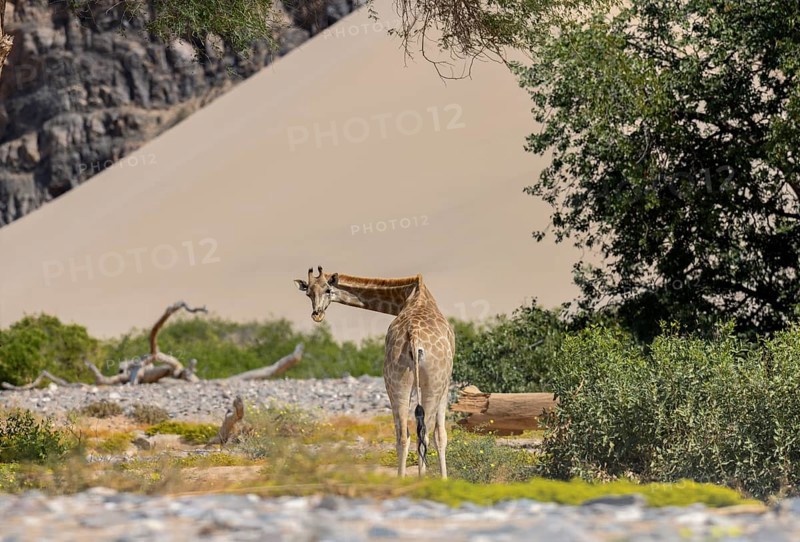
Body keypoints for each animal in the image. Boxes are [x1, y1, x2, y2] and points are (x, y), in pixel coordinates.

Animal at [294, 266, 455, 478]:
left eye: (327, 290)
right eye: (308, 293)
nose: (317, 314)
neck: (410, 294)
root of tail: (414, 337)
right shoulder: (446, 383)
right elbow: (440, 436)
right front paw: (443, 480)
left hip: (395, 382)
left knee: (403, 436)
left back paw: (403, 480)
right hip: (431, 384)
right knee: (423, 434)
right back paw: (421, 480)